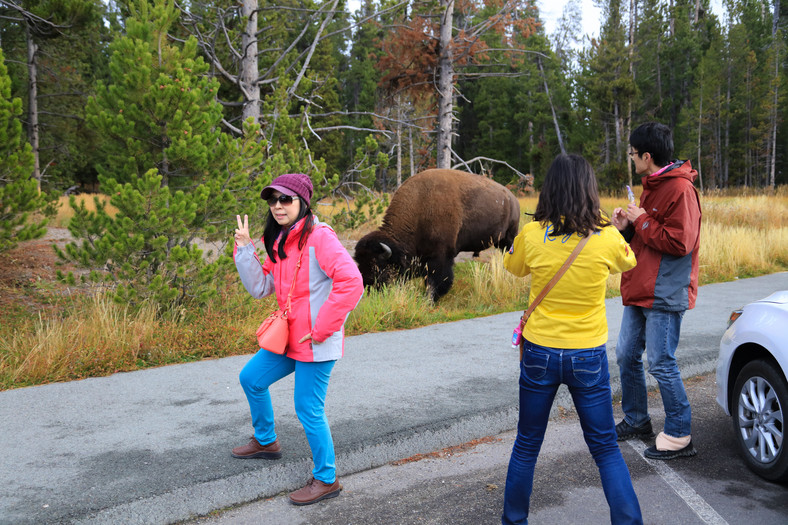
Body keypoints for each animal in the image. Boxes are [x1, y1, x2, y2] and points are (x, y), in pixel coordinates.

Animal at [354, 168, 520, 298]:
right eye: (359, 263)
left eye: (379, 268)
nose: (367, 290)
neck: (420, 208)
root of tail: (512, 198)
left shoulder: (440, 256)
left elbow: (438, 280)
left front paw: (431, 299)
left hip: (509, 238)